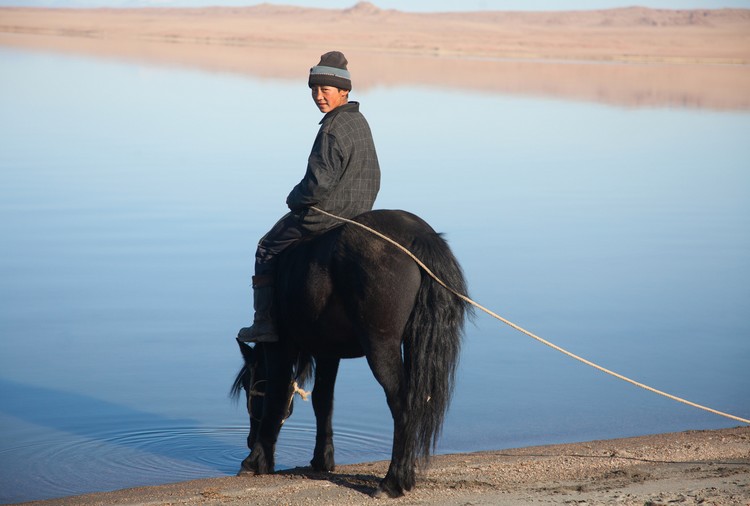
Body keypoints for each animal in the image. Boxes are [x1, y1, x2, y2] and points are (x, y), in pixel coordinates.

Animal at [229, 210, 470, 498]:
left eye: (248, 384)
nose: (249, 440)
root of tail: (419, 236)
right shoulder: (327, 351)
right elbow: (323, 401)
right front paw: (322, 459)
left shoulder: (280, 347)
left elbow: (276, 396)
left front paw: (255, 461)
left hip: (381, 346)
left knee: (402, 404)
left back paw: (392, 482)